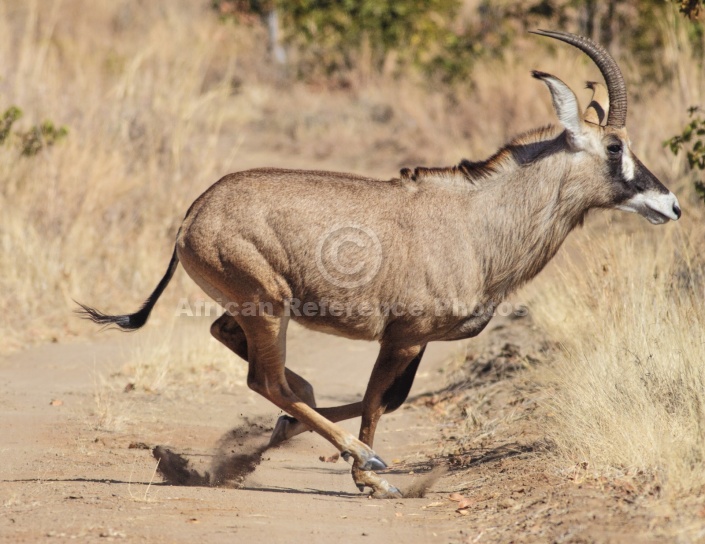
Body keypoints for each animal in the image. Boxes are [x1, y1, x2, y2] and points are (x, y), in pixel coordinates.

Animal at [78, 29, 680, 498]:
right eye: (614, 148)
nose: (670, 205)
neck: (478, 222)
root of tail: (196, 210)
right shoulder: (406, 335)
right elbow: (377, 401)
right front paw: (369, 474)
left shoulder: (417, 340)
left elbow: (384, 399)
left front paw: (285, 436)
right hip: (270, 306)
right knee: (266, 379)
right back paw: (354, 452)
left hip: (256, 307)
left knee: (245, 352)